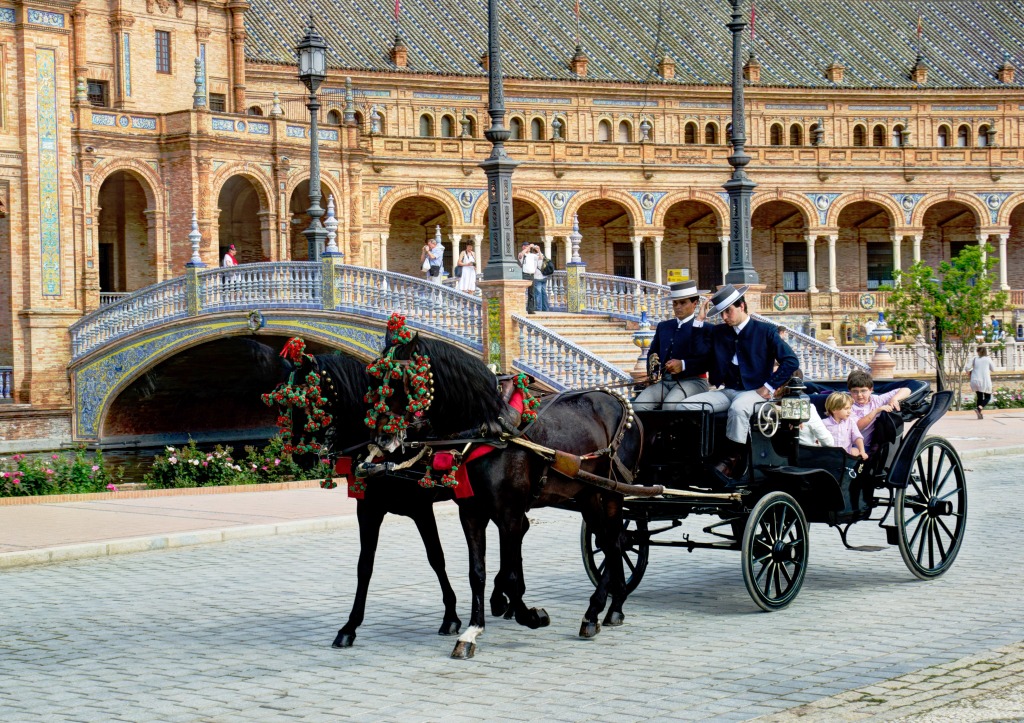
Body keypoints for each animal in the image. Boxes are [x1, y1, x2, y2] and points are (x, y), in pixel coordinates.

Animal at [372, 329, 643, 655]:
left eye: (404, 379)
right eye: (375, 380)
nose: (382, 439)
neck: (487, 429)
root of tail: (621, 401)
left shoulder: (509, 513)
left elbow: (511, 572)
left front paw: (531, 615)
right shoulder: (471, 513)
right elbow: (477, 572)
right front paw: (473, 629)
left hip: (613, 491)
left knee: (614, 542)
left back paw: (599, 610)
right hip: (588, 493)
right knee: (609, 541)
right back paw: (610, 607)